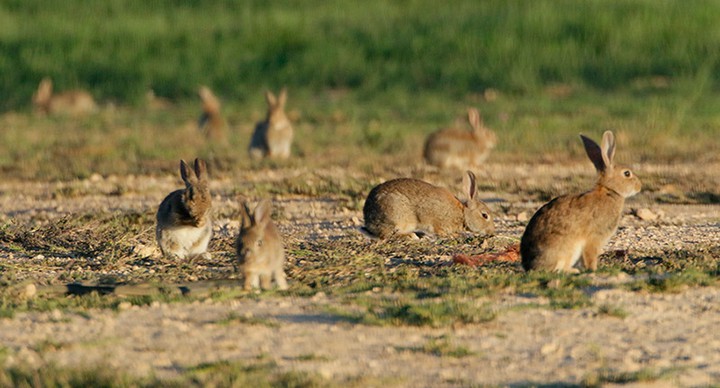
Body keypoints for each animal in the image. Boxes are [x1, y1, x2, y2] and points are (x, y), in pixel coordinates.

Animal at [360, 171, 496, 239]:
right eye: (484, 215)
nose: (492, 232)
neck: (463, 214)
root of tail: (369, 221)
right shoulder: (438, 220)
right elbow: (438, 229)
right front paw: (452, 235)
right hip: (399, 218)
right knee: (387, 235)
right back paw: (411, 235)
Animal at [520, 130, 644, 272]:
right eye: (627, 173)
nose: (639, 187)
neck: (609, 190)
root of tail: (531, 266)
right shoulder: (593, 238)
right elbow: (590, 256)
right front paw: (593, 270)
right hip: (567, 249)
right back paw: (573, 270)